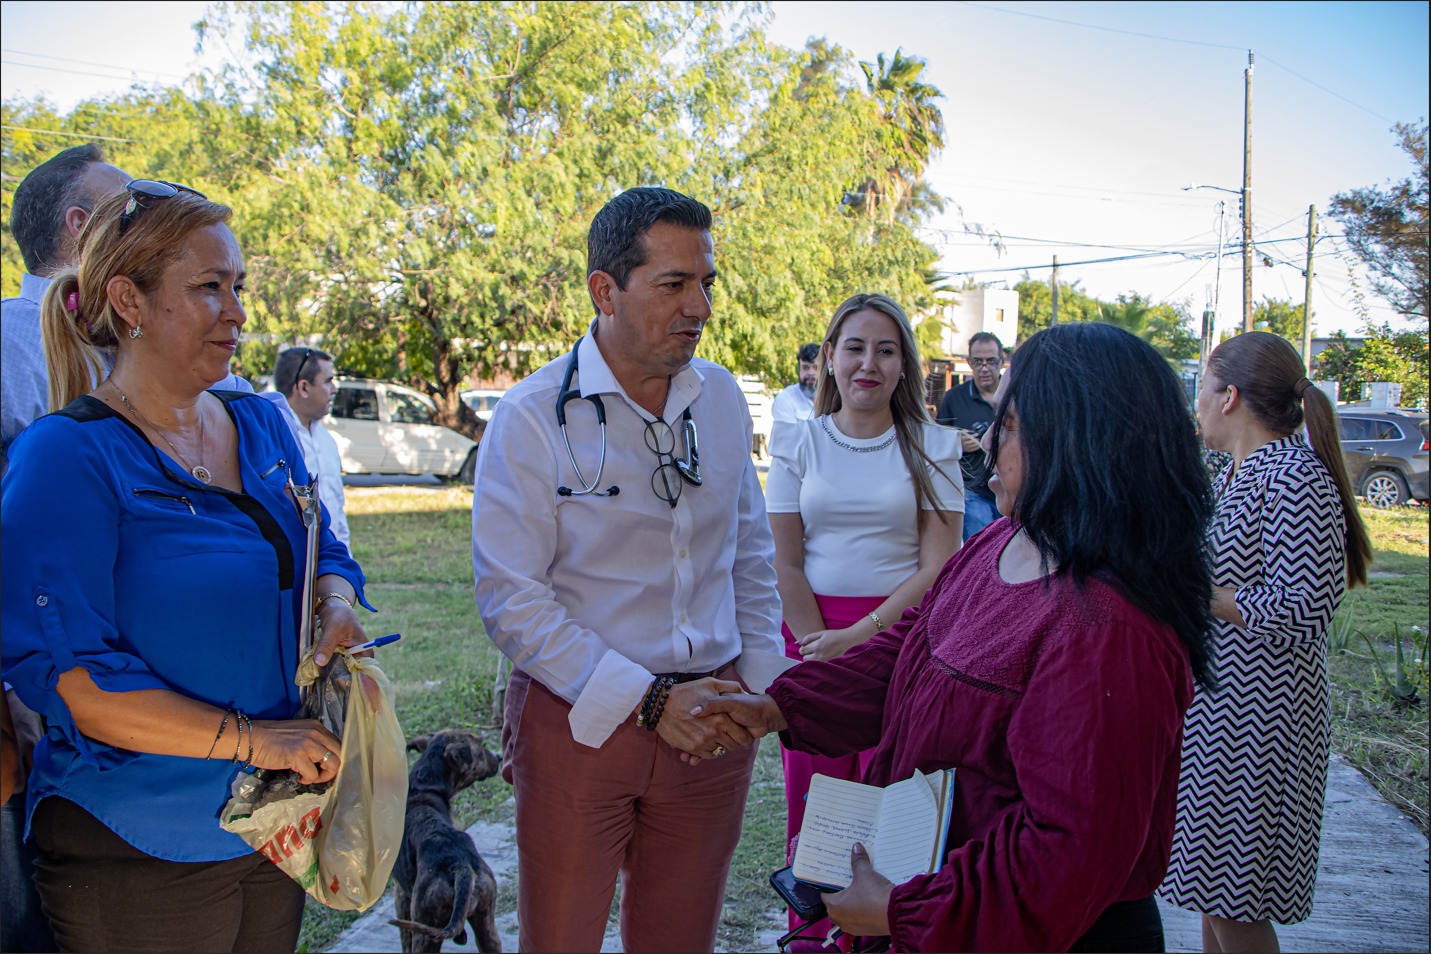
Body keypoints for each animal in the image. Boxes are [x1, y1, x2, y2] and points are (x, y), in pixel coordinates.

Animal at [392, 738, 503, 949]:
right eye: (481, 751)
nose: (500, 756)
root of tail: (459, 865)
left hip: (424, 930)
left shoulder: (401, 896)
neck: (422, 787)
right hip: (487, 926)